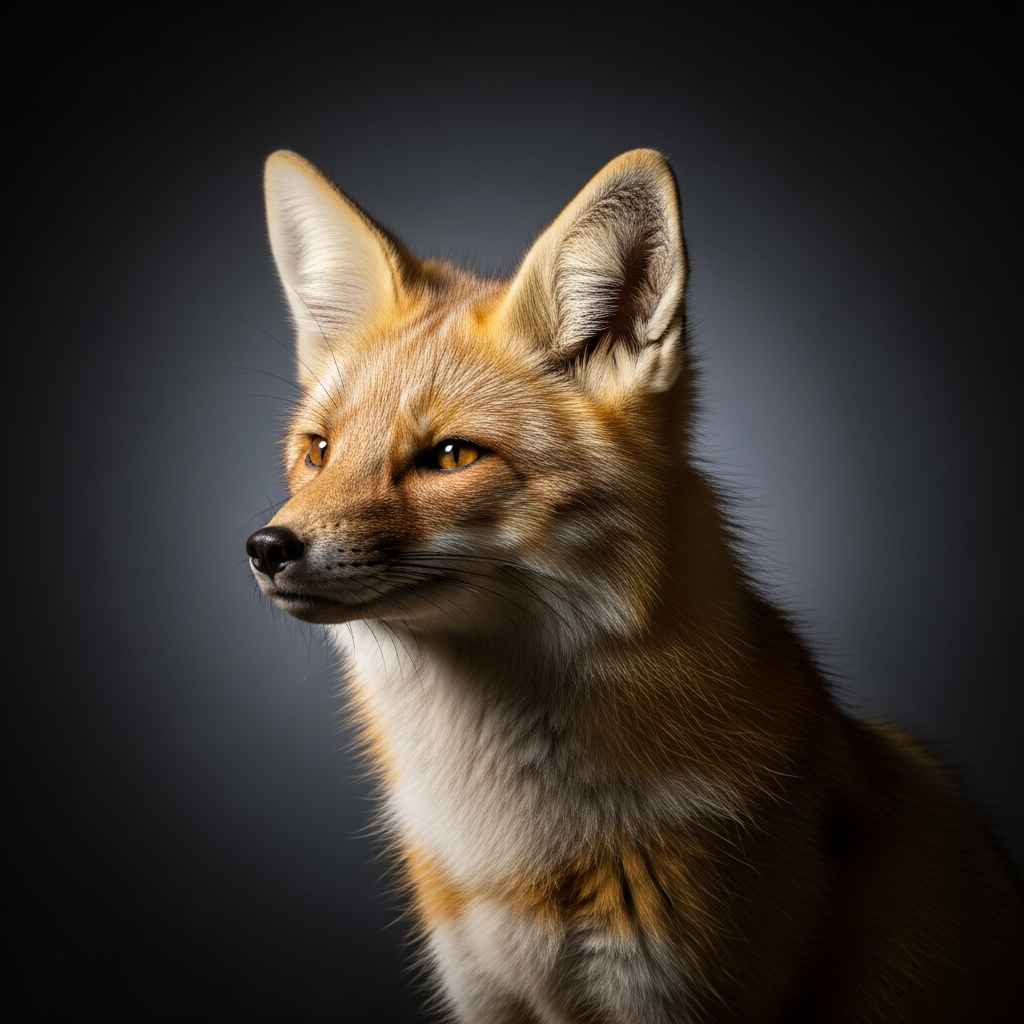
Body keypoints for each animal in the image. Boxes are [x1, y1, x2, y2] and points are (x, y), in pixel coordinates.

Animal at [246, 148, 1022, 1023]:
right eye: (317, 451)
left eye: (450, 457)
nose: (267, 547)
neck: (515, 851)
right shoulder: (488, 994)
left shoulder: (676, 994)